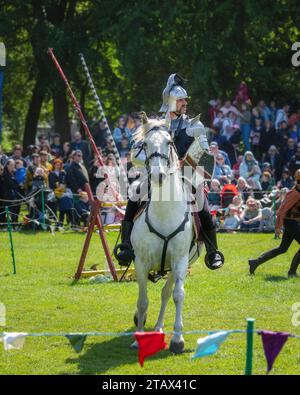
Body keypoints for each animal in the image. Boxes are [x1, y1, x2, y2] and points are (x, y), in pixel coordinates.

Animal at [131, 119, 202, 354]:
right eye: (144, 144)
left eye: (169, 142)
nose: (158, 175)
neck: (164, 213)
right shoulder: (141, 262)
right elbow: (142, 300)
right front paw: (138, 338)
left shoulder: (180, 261)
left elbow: (178, 295)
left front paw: (177, 340)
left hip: (173, 267)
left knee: (165, 293)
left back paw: (159, 327)